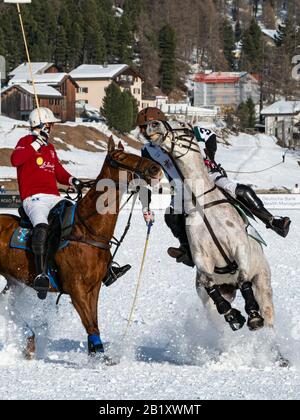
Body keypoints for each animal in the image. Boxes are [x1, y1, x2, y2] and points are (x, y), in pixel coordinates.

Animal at [0, 137, 162, 358]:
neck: (88, 229)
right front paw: (101, 357)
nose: (155, 169)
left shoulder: (94, 288)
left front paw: (96, 353)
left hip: (13, 280)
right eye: (120, 157)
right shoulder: (76, 288)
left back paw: (29, 339)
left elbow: (94, 321)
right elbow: (90, 324)